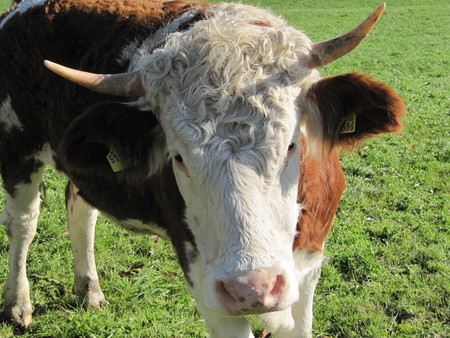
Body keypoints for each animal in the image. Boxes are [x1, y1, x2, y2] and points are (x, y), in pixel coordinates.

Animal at [0, 0, 406, 336]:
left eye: (292, 144)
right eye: (178, 156)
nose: (251, 288)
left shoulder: (308, 266)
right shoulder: (205, 281)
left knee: (81, 212)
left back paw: (89, 290)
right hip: (18, 150)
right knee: (23, 224)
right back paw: (17, 305)